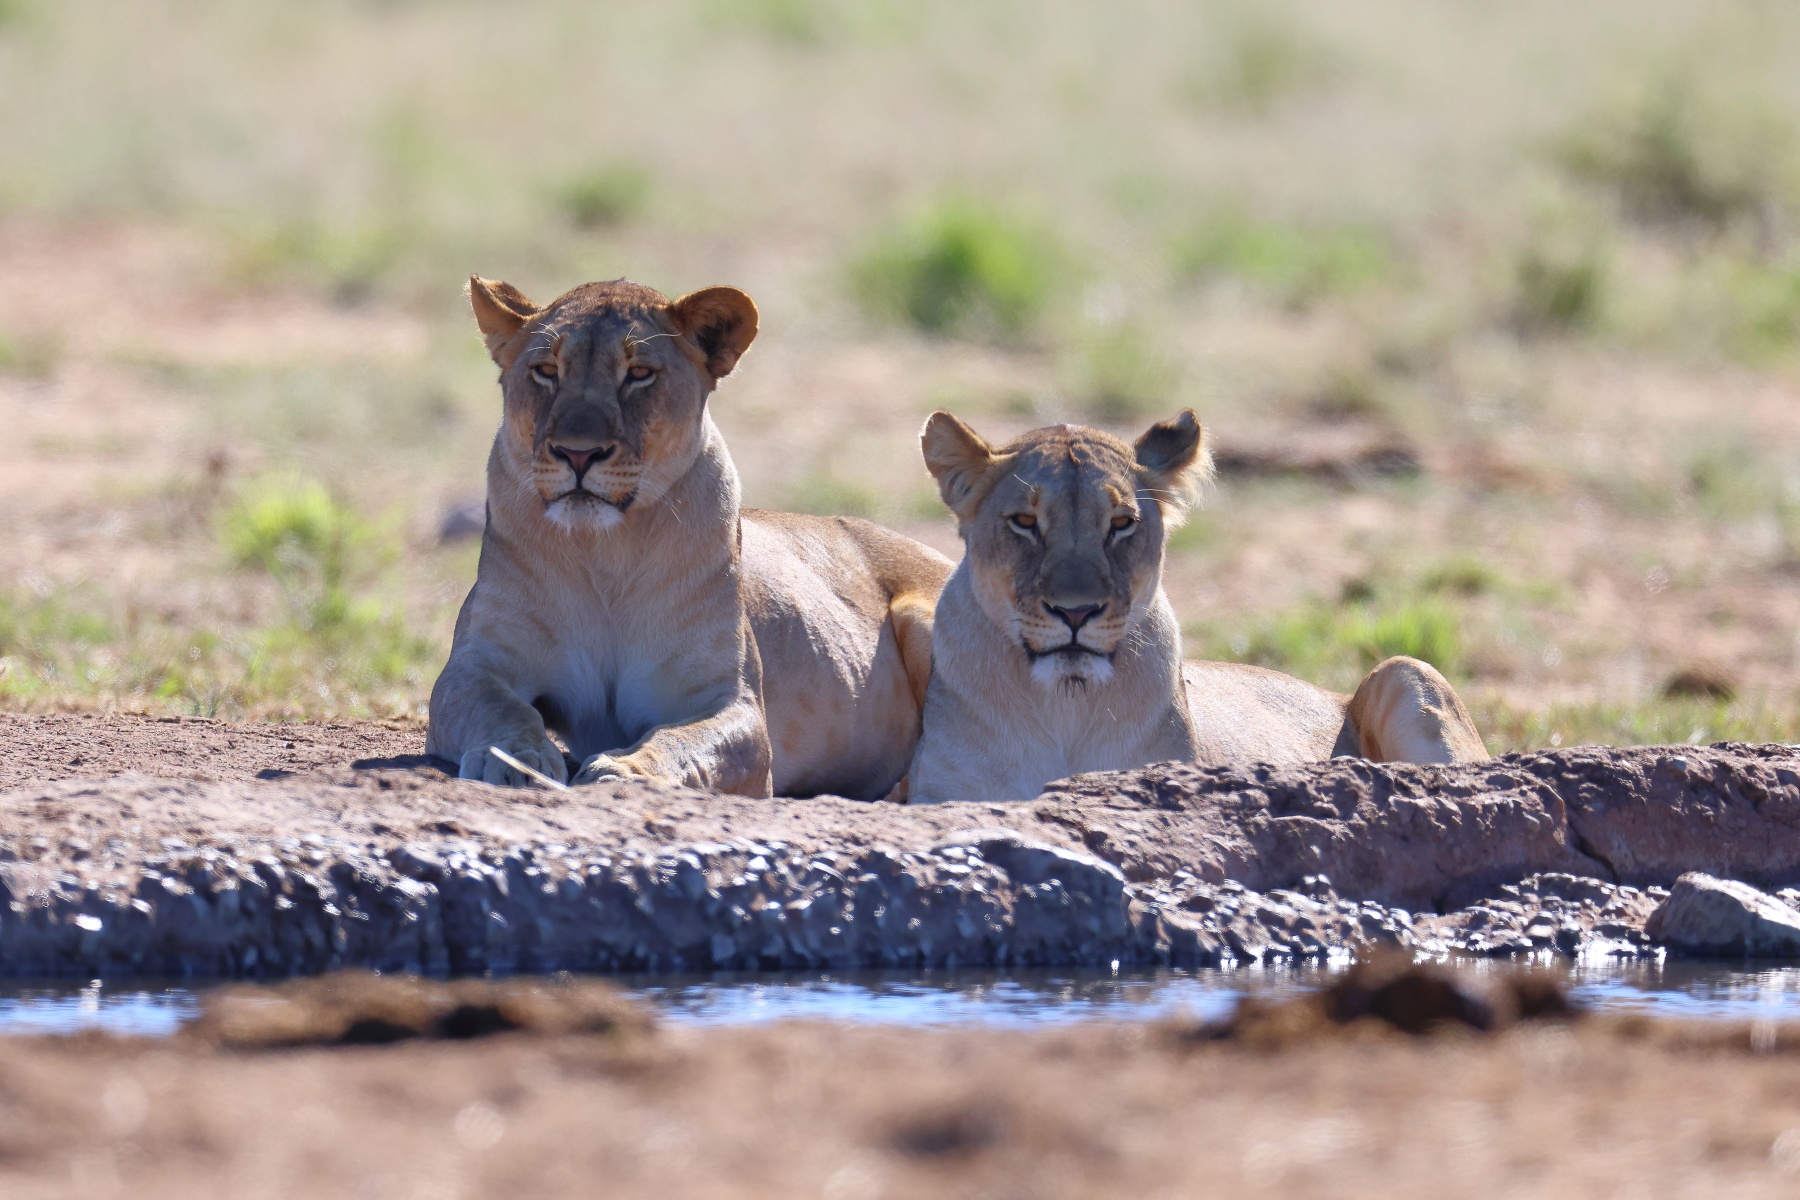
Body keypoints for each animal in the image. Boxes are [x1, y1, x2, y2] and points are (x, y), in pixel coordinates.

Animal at [426, 277, 952, 798]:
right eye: (545, 370)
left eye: (639, 373)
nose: (577, 454)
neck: (603, 551)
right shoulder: (475, 666)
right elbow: (500, 709)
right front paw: (519, 760)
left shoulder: (731, 702)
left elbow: (683, 741)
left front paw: (625, 769)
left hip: (920, 615)